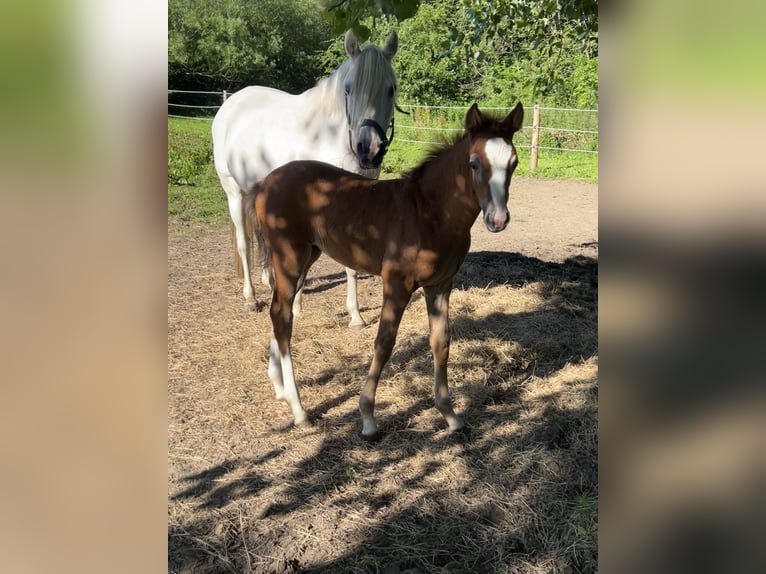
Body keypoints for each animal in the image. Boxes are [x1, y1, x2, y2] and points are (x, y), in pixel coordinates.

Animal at [213, 30, 400, 328]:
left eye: (390, 89)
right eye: (348, 89)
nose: (368, 150)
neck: (332, 135)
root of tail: (230, 104)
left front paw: (353, 314)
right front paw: (347, 314)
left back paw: (270, 281)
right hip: (234, 193)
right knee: (244, 244)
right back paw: (250, 298)